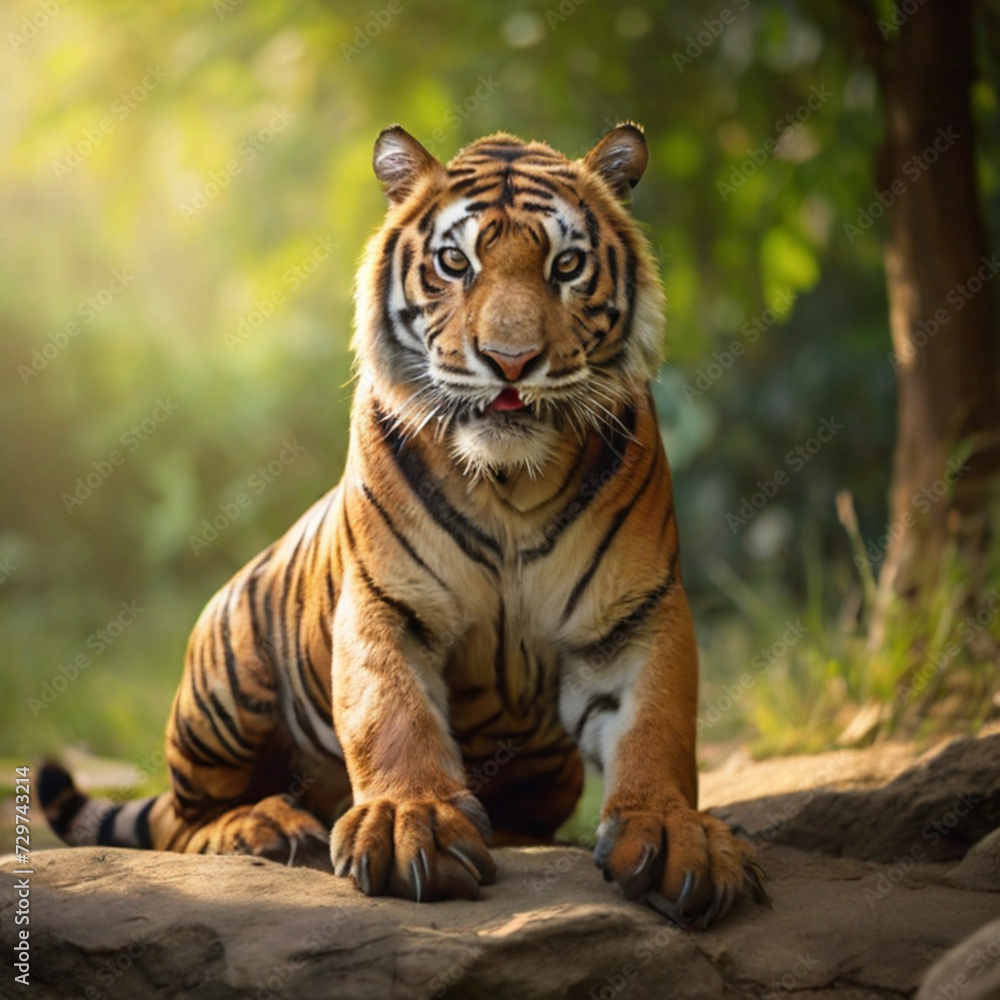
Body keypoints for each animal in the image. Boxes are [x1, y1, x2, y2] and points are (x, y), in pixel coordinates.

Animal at [41, 123, 768, 928]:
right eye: (456, 262)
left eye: (567, 265)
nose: (511, 361)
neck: (510, 484)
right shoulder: (386, 601)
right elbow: (391, 714)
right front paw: (407, 822)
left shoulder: (634, 614)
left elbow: (657, 728)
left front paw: (675, 834)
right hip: (227, 677)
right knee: (178, 818)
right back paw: (265, 826)